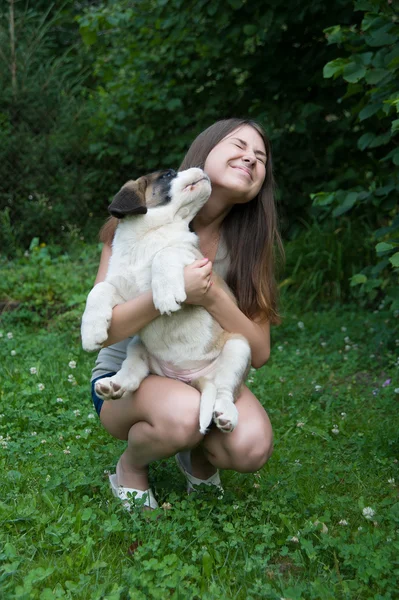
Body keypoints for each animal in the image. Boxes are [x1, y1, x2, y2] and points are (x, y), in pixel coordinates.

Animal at [80, 166, 250, 434]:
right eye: (168, 174)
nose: (202, 168)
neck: (148, 236)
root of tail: (191, 378)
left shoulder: (194, 260)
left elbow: (166, 252)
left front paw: (166, 293)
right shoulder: (123, 293)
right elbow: (98, 290)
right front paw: (91, 332)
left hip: (238, 347)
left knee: (225, 389)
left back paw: (226, 414)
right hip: (138, 346)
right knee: (134, 372)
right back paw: (114, 385)